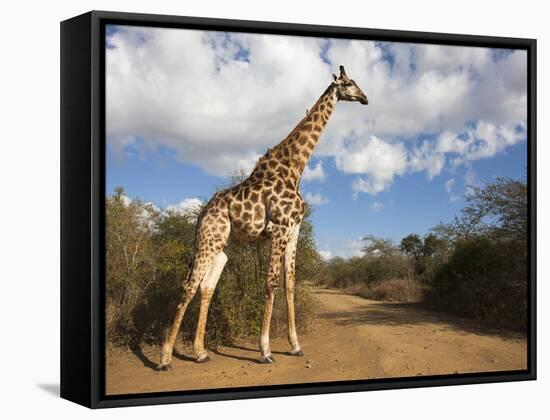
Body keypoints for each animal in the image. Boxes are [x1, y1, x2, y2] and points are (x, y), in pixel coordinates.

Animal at [157, 65, 368, 370]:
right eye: (349, 83)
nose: (365, 98)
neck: (295, 167)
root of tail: (202, 213)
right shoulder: (279, 227)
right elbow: (271, 282)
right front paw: (265, 350)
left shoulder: (294, 229)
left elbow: (290, 283)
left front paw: (295, 346)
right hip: (208, 239)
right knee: (189, 285)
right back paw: (164, 358)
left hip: (226, 244)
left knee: (207, 286)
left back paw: (200, 352)